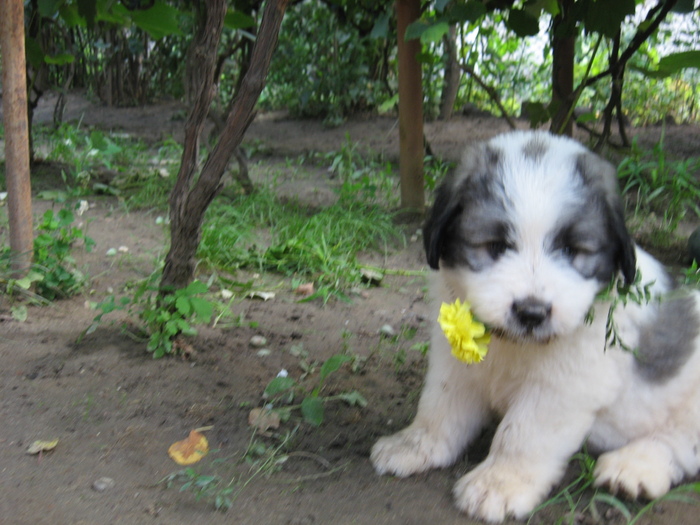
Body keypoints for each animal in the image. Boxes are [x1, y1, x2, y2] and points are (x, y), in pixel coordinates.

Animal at [370, 130, 700, 520]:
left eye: (572, 250)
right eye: (495, 246)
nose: (531, 312)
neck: (514, 346)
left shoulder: (563, 387)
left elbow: (522, 433)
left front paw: (497, 483)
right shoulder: (455, 363)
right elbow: (440, 405)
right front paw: (414, 443)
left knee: (680, 443)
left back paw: (632, 467)